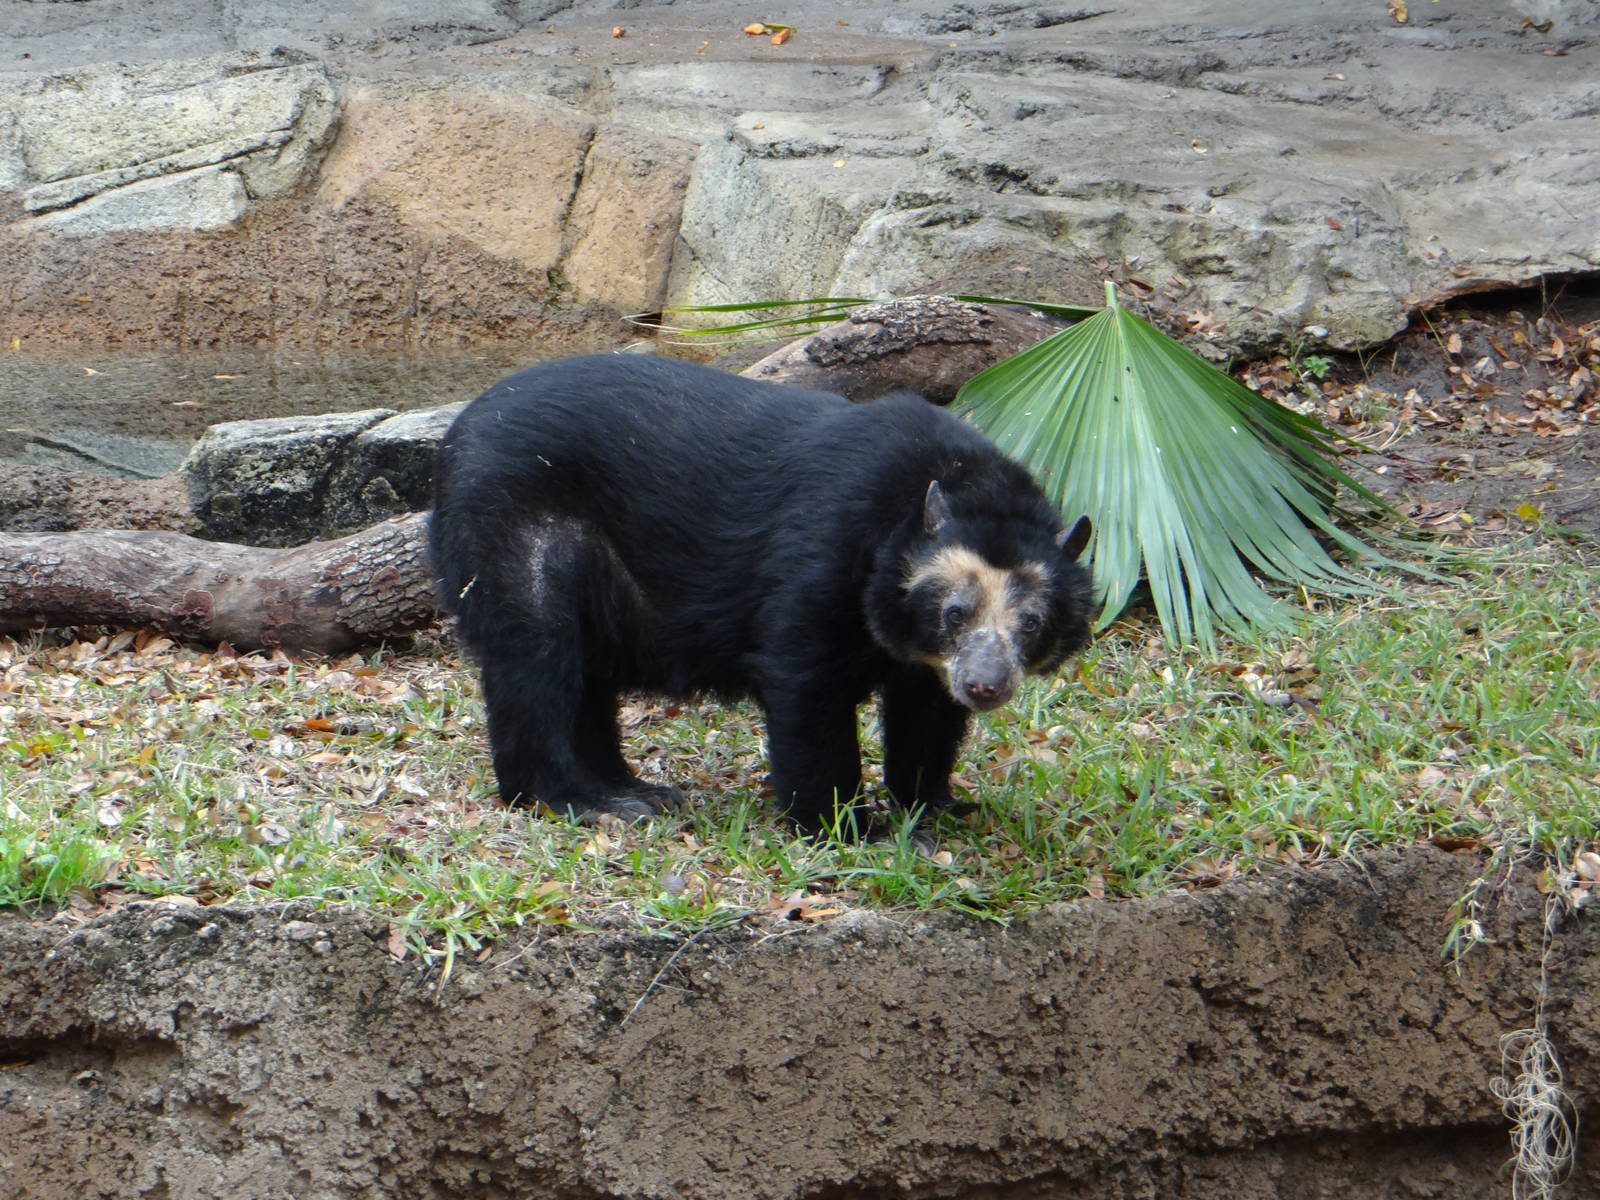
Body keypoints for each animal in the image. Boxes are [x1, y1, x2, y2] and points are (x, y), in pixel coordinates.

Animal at [428, 353, 1094, 834]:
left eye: (1032, 624)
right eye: (954, 613)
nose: (985, 686)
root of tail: (457, 434)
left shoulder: (925, 660)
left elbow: (926, 714)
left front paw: (938, 807)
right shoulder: (821, 560)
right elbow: (807, 685)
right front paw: (847, 827)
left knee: (586, 677)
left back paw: (632, 790)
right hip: (515, 526)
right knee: (537, 657)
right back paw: (577, 801)